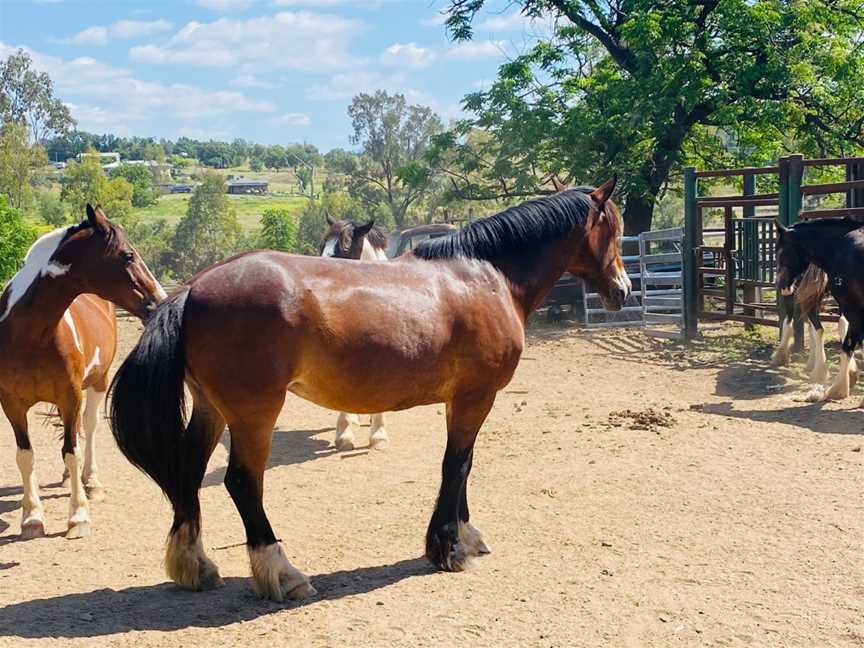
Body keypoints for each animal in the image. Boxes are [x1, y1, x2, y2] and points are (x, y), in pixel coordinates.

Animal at [0, 205, 165, 540]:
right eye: (128, 255)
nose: (160, 300)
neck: (28, 335)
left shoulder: (71, 396)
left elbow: (72, 451)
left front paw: (78, 516)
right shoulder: (11, 403)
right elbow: (26, 455)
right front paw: (32, 517)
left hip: (97, 383)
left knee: (87, 429)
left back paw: (92, 482)